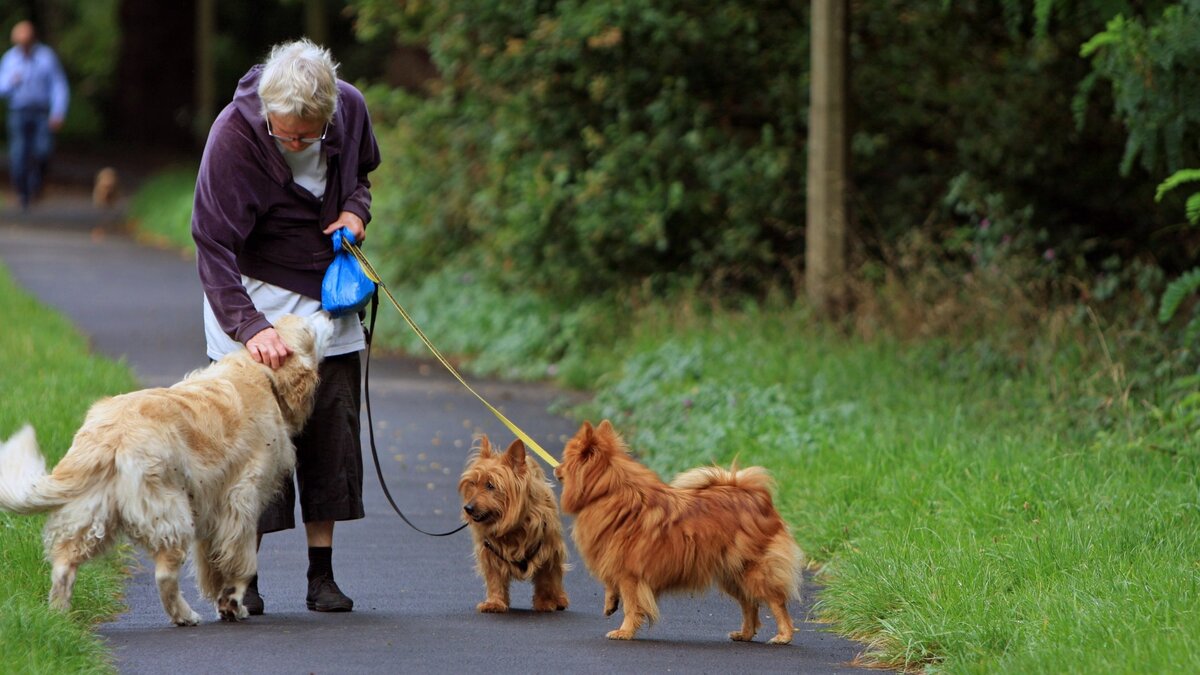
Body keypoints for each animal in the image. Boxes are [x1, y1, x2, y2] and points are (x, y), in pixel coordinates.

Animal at [458, 432, 571, 612]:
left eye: (490, 485)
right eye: (473, 483)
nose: (468, 508)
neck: (512, 527)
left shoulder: (547, 550)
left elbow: (546, 579)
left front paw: (545, 602)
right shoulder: (489, 553)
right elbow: (495, 578)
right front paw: (495, 602)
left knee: (555, 575)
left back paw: (559, 598)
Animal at [554, 417, 801, 643]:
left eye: (565, 461)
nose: (556, 468)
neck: (608, 492)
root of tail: (757, 498)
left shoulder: (630, 574)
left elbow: (632, 606)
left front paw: (624, 632)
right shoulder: (614, 561)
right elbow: (612, 588)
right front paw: (610, 604)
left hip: (754, 570)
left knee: (776, 601)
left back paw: (784, 635)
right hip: (733, 574)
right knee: (749, 604)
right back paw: (745, 634)